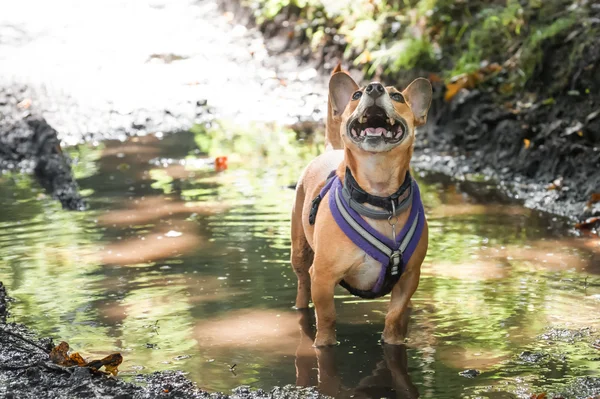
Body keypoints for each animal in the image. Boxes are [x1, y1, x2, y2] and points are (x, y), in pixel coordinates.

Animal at [290, 66, 432, 346]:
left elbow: (394, 316)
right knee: (302, 288)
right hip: (300, 254)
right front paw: (324, 344)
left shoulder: (409, 276)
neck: (379, 196)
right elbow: (327, 317)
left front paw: (393, 340)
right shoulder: (322, 277)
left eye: (397, 97)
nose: (374, 87)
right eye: (356, 95)